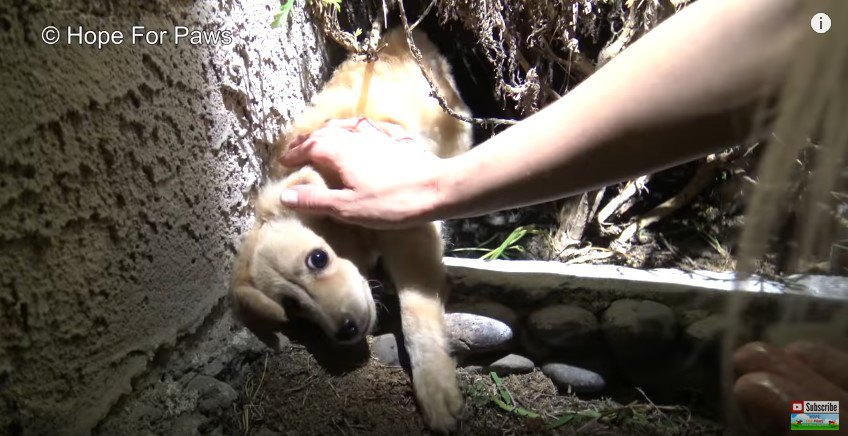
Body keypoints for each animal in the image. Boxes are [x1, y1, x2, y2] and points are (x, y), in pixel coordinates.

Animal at [229, 29, 474, 430]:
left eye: (317, 259)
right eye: (293, 305)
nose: (345, 331)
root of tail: (399, 33)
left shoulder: (411, 233)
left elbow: (416, 314)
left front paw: (435, 386)